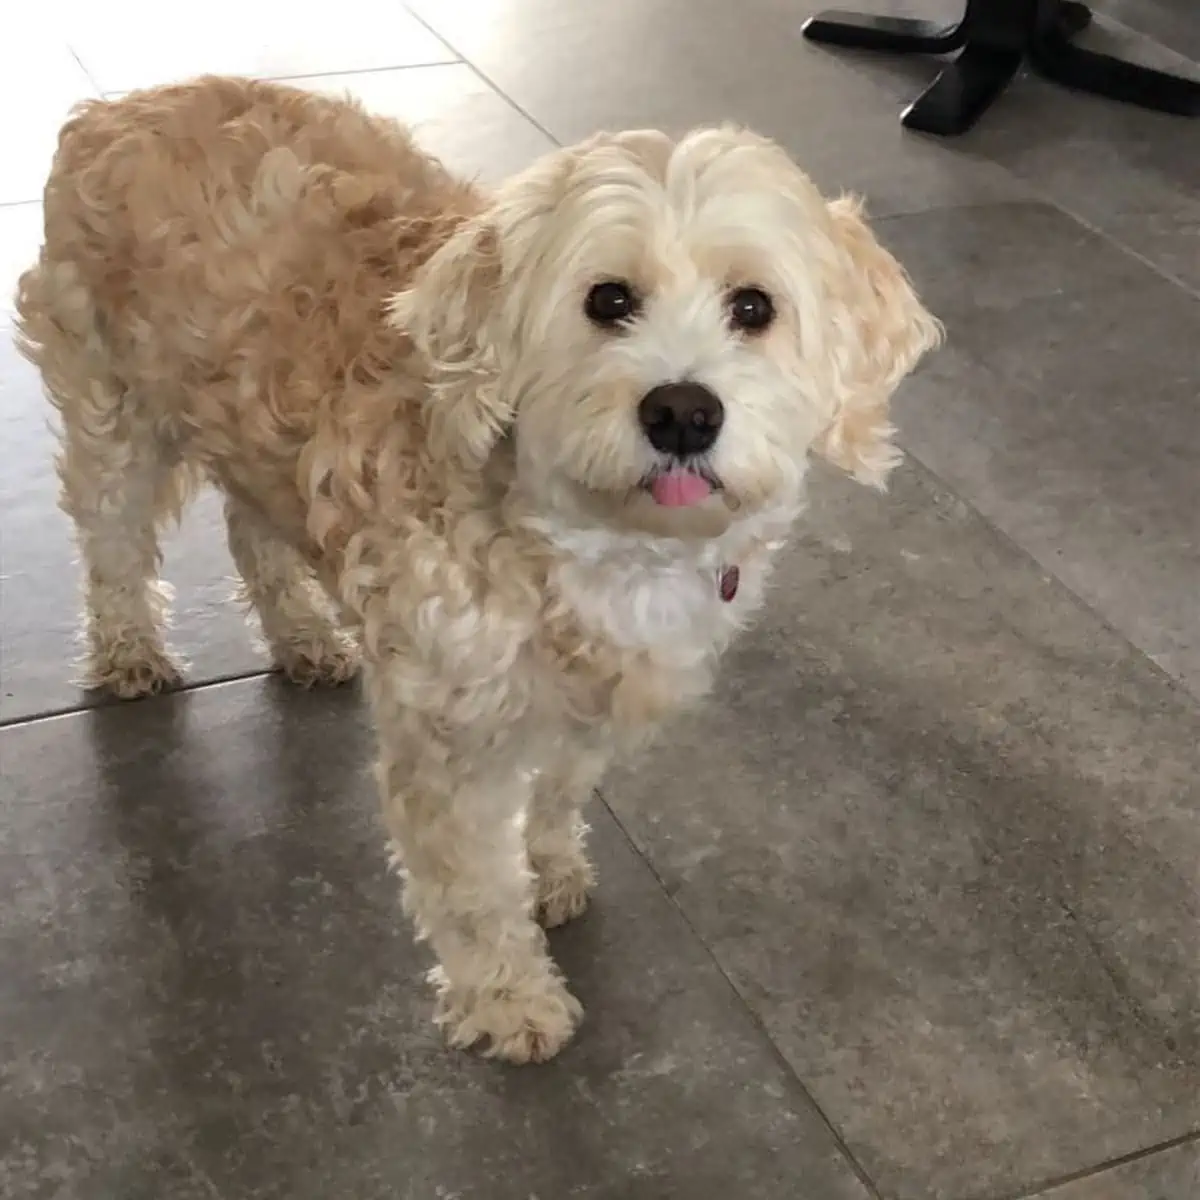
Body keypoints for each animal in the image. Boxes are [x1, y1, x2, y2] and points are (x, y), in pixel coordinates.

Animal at [14, 79, 940, 1065]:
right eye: (608, 299)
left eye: (755, 307)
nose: (683, 412)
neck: (582, 543)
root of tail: (116, 105)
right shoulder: (448, 734)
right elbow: (470, 887)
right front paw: (509, 998)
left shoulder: (591, 705)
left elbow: (559, 792)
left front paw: (551, 864)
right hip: (112, 413)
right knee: (113, 546)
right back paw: (129, 652)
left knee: (251, 528)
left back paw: (301, 632)